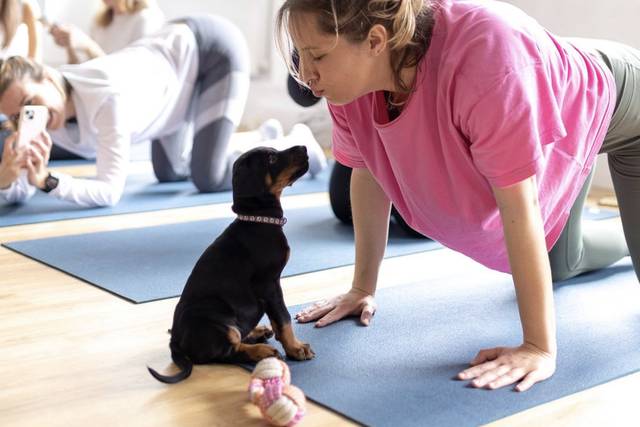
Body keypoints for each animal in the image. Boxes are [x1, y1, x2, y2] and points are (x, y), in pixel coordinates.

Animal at [146, 146, 316, 384]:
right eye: (272, 158)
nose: (304, 147)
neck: (257, 220)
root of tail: (176, 343)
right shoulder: (270, 284)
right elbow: (283, 318)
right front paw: (296, 348)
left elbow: (278, 320)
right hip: (216, 319)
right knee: (226, 352)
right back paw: (262, 351)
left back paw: (257, 333)